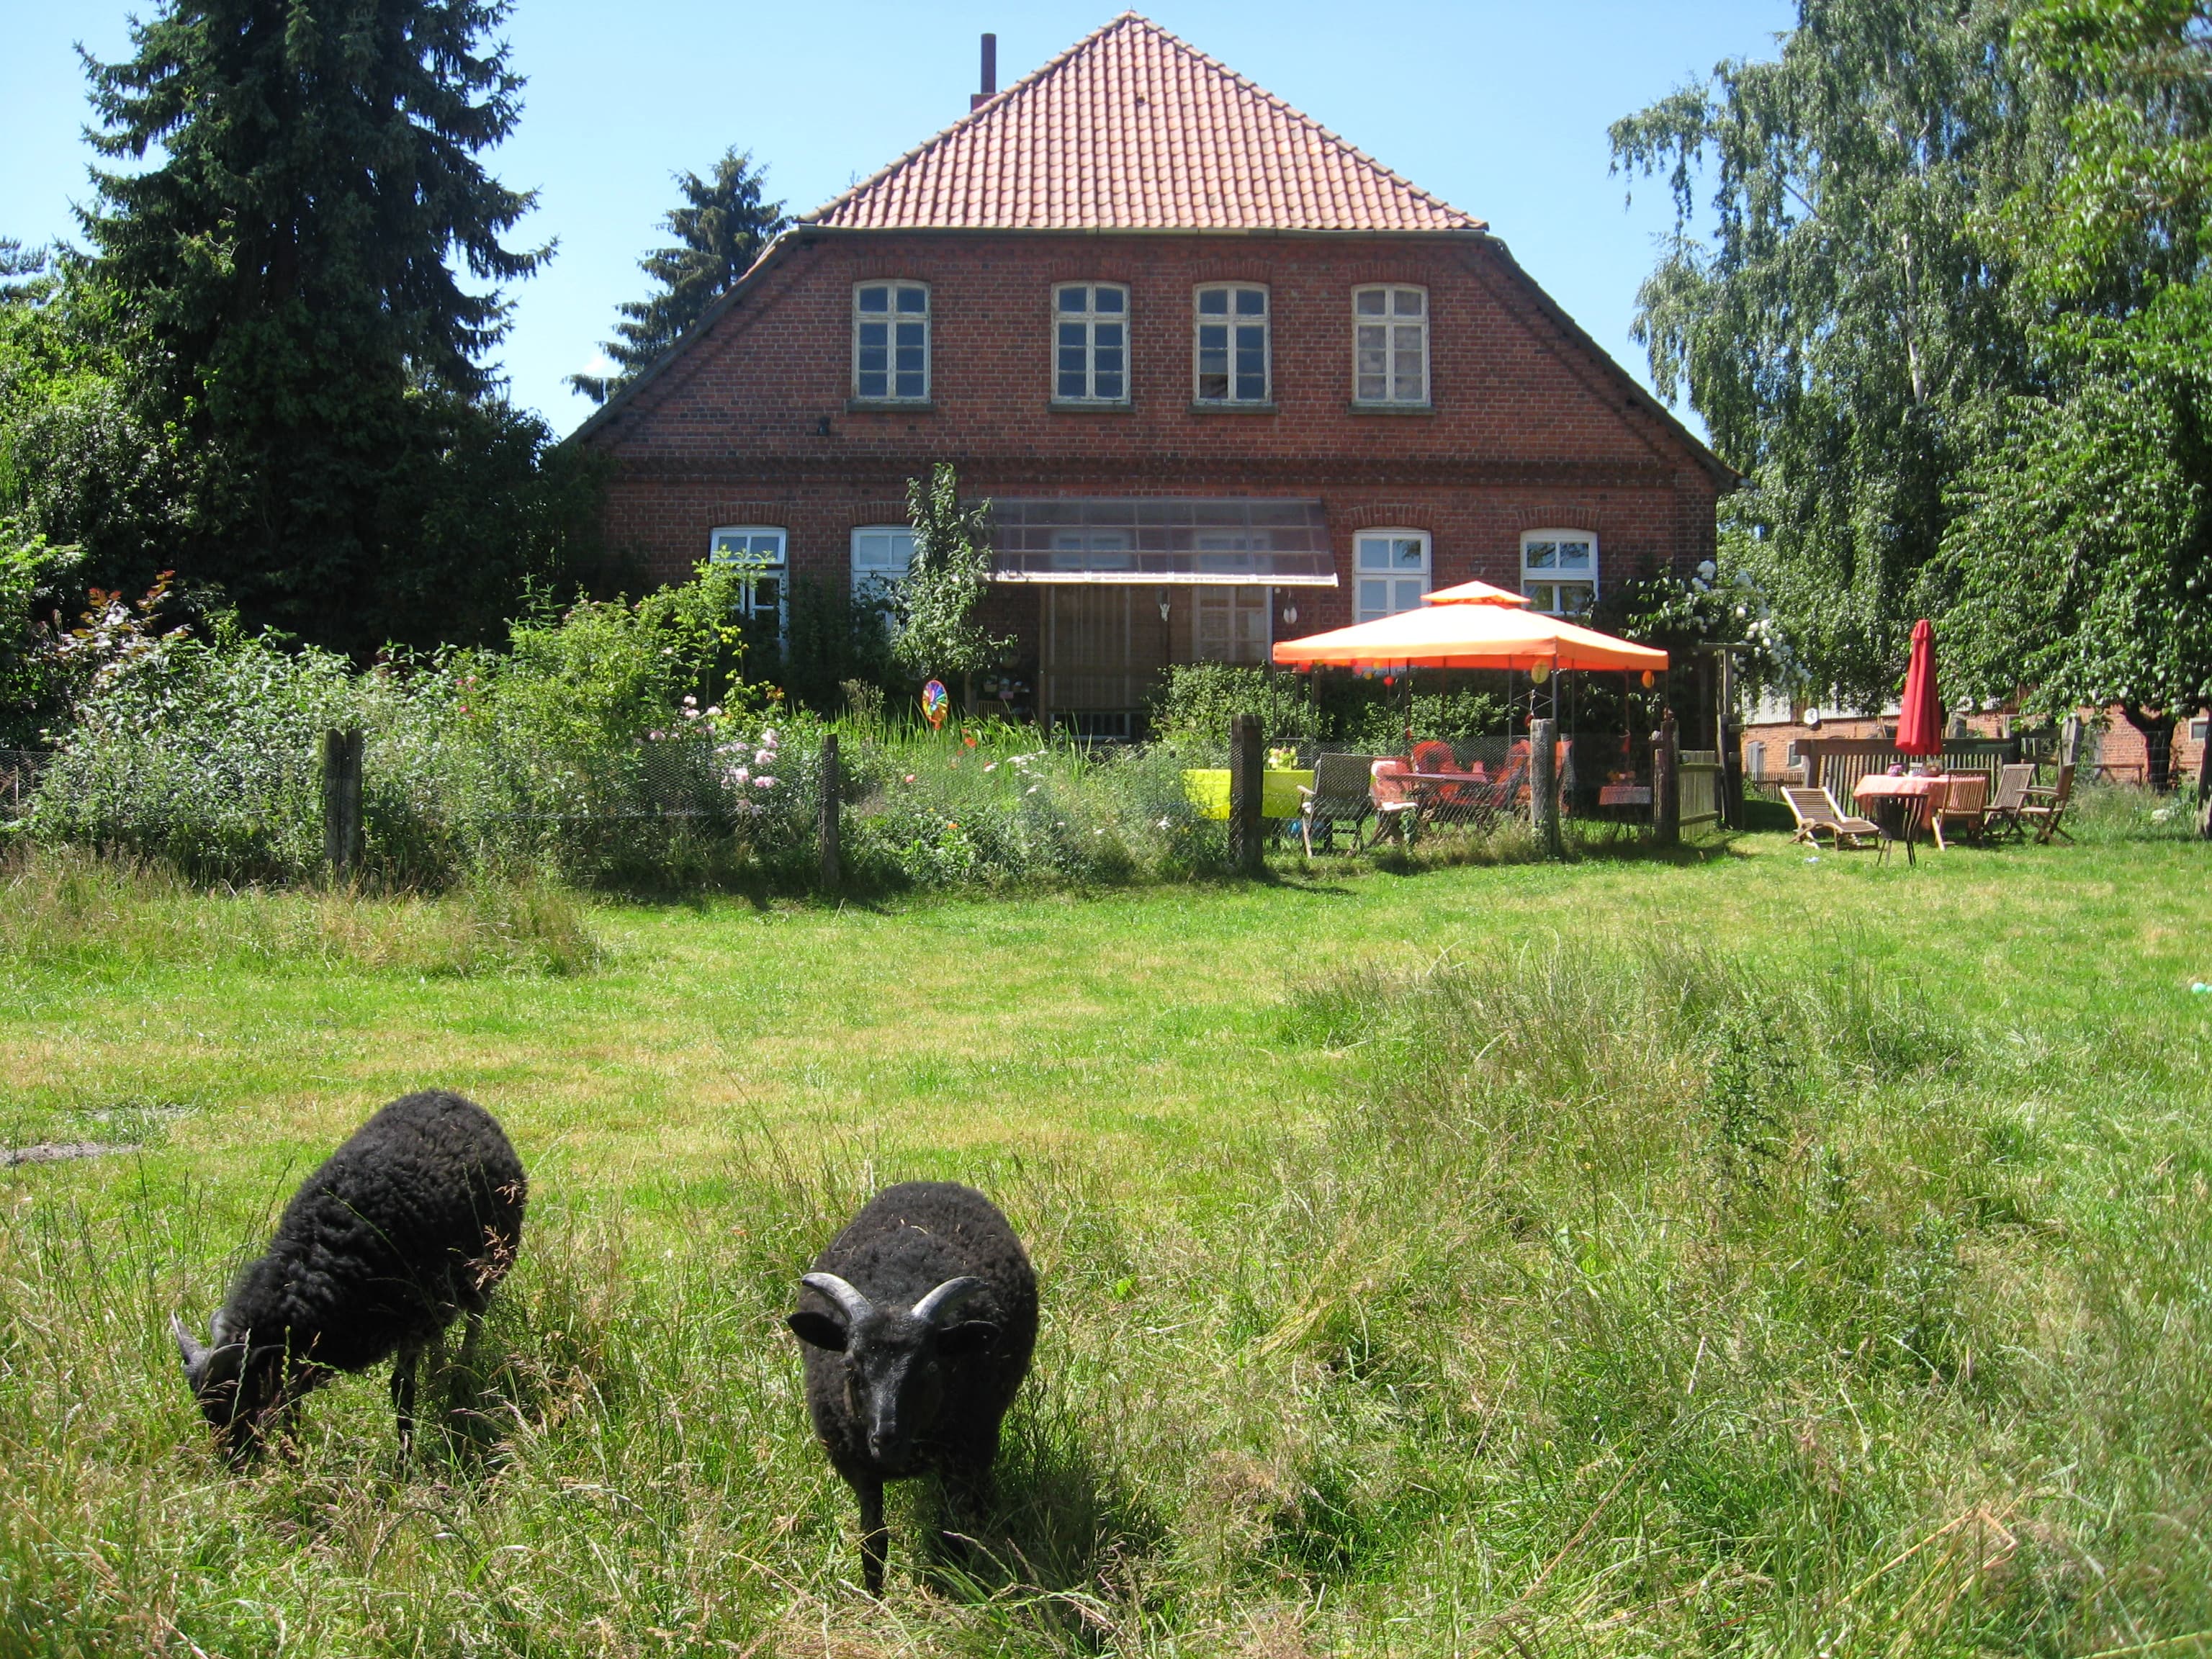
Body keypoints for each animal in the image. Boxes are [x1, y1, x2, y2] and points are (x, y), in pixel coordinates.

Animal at [170, 1092, 524, 1468]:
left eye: (239, 1397)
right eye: (203, 1405)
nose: (235, 1462)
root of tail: (445, 1095)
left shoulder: (410, 1321)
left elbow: (401, 1388)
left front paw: (404, 1461)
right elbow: (291, 1400)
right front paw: (294, 1456)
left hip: (487, 1268)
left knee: (475, 1318)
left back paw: (461, 1375)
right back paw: (438, 1373)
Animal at [791, 1185, 1039, 1601]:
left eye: (930, 1368)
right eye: (850, 1367)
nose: (885, 1440)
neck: (896, 1293)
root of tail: (937, 1181)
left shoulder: (963, 1457)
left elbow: (951, 1534)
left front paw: (952, 1590)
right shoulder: (857, 1468)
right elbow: (873, 1541)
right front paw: (875, 1600)